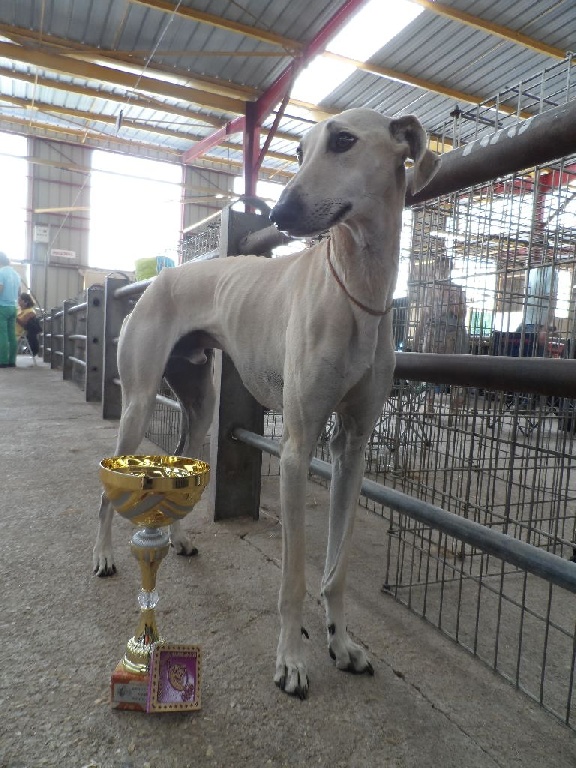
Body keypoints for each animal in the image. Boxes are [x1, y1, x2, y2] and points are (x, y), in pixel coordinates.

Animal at [92, 105, 438, 700]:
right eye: (298, 151)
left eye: (344, 141)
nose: (279, 210)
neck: (356, 289)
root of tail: (161, 277)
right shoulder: (296, 451)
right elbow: (294, 577)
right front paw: (292, 661)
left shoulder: (351, 451)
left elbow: (336, 569)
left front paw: (342, 643)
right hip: (136, 404)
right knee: (106, 490)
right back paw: (105, 555)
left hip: (200, 410)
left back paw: (178, 540)